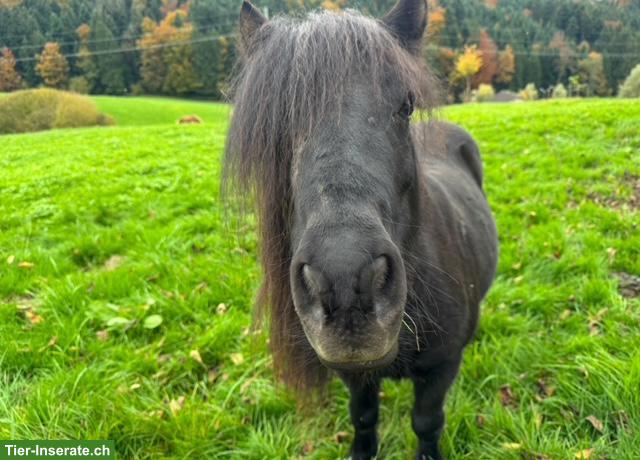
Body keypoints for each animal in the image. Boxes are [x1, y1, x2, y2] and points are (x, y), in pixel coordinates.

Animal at [224, 1, 499, 458]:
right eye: (273, 120)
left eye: (406, 106)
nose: (346, 284)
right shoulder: (354, 375)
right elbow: (364, 418)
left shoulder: (440, 370)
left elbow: (427, 422)